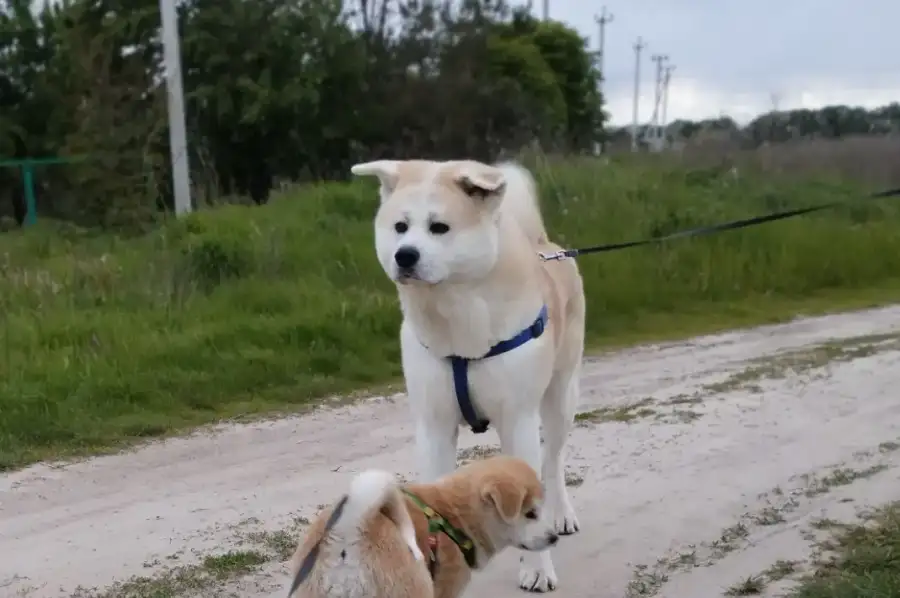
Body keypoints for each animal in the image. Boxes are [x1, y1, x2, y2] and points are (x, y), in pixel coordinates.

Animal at [348, 159, 588, 596]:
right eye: (400, 226)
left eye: (439, 227)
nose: (404, 256)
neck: (455, 318)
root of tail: (545, 244)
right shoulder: (434, 426)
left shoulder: (518, 421)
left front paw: (537, 568)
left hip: (561, 397)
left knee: (554, 461)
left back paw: (562, 513)